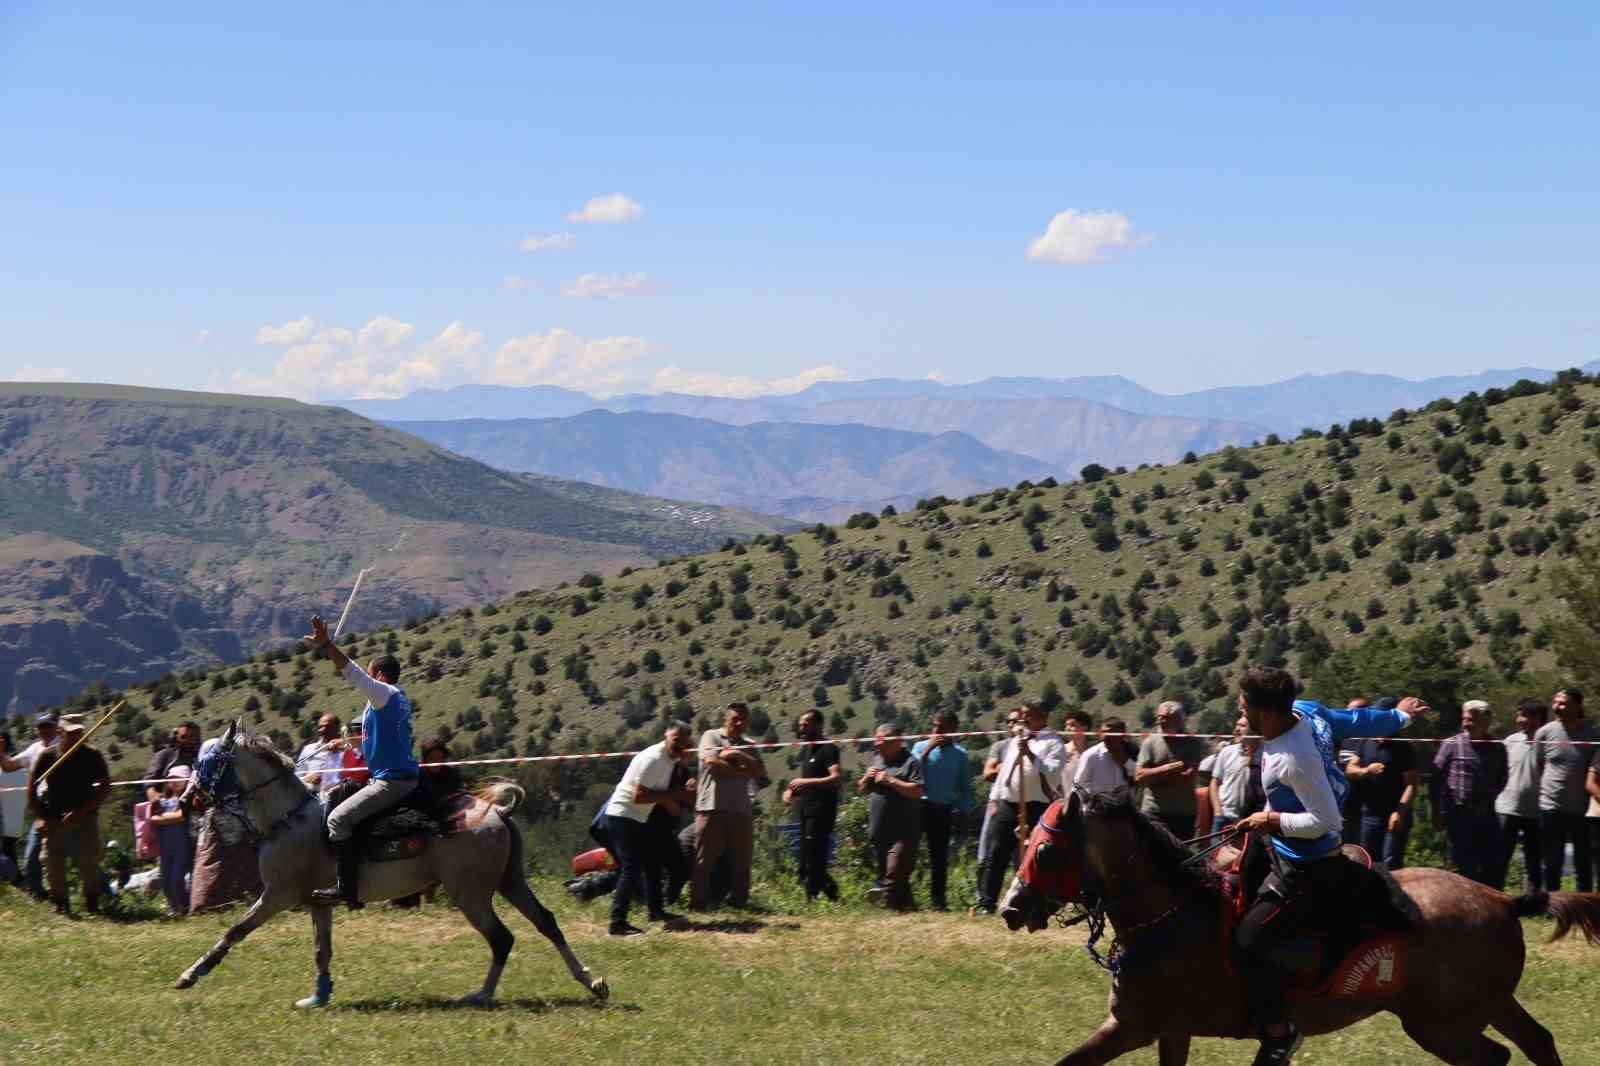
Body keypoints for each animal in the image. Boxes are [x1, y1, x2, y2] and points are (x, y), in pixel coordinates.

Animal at [170, 723, 604, 1005]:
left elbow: (235, 930)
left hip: (472, 894)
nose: (187, 800)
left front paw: (191, 974)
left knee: (502, 938)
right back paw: (591, 981)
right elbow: (322, 949)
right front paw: (318, 996)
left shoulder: (278, 896)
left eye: (211, 760)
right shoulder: (316, 903)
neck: (288, 819)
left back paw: (481, 995)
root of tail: (496, 812)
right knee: (546, 923)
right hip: (509, 882)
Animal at [992, 787, 1593, 1062]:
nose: (1012, 908)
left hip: (1441, 1022)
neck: (1174, 914)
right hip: (1485, 1006)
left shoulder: (1134, 1027)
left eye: (1044, 850)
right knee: (1535, 1042)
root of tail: (1503, 901)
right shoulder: (1166, 1030)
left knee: (1499, 1055)